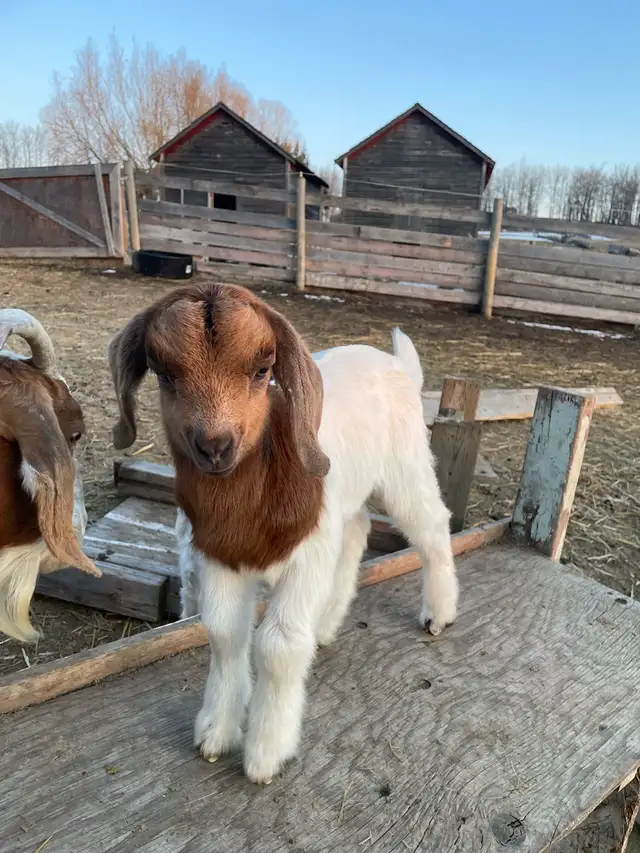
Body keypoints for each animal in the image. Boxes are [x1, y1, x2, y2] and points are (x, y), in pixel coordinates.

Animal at [108, 283, 457, 784]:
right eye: (164, 373)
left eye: (262, 370)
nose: (215, 447)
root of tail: (397, 365)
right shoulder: (219, 555)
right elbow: (223, 633)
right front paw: (216, 732)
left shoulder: (305, 558)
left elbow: (279, 645)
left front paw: (265, 753)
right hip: (343, 500)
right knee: (357, 532)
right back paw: (327, 624)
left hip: (405, 466)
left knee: (432, 525)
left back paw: (439, 613)